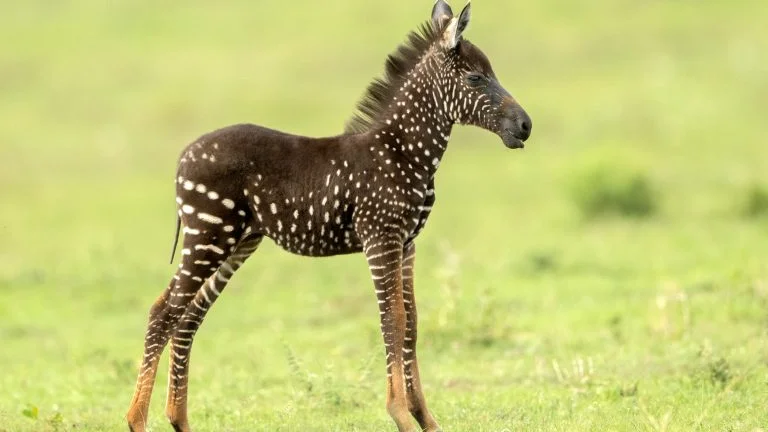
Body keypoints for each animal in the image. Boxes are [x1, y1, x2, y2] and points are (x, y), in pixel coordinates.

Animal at [126, 1, 532, 431]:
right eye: (475, 78)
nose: (526, 126)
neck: (403, 153)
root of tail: (184, 156)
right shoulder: (380, 239)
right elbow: (393, 320)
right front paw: (401, 414)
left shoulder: (407, 243)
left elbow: (412, 324)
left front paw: (426, 418)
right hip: (209, 235)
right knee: (163, 312)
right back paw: (137, 419)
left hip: (238, 241)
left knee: (188, 316)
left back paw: (179, 419)